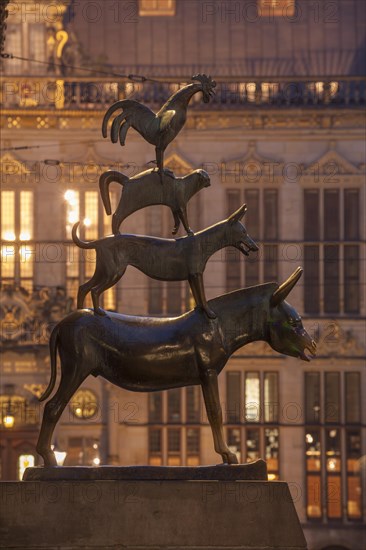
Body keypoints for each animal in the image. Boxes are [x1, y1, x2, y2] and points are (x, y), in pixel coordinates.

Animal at [73, 205, 258, 320]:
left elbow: (197, 295)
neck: (202, 242)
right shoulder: (197, 274)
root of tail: (99, 241)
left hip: (103, 270)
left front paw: (200, 310)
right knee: (94, 290)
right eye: (244, 232)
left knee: (83, 288)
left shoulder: (191, 276)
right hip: (114, 272)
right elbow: (203, 295)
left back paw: (80, 311)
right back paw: (98, 312)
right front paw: (210, 313)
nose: (255, 247)